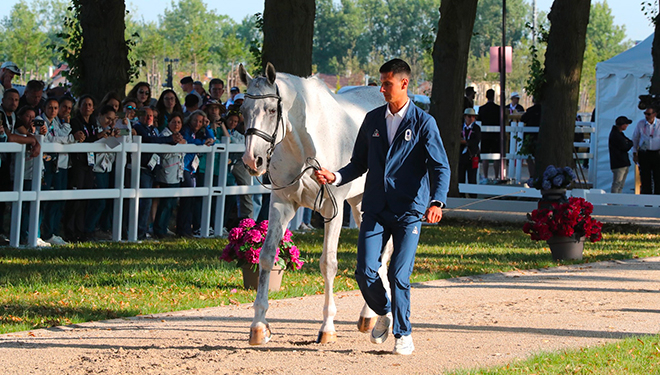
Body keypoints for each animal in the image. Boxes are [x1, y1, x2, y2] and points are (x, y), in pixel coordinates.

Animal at [238, 62, 392, 346]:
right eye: (242, 110)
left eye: (272, 110)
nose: (253, 160)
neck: (303, 147)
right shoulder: (282, 205)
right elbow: (266, 256)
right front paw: (258, 325)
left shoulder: (333, 210)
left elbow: (328, 264)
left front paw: (327, 327)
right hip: (359, 203)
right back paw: (368, 316)